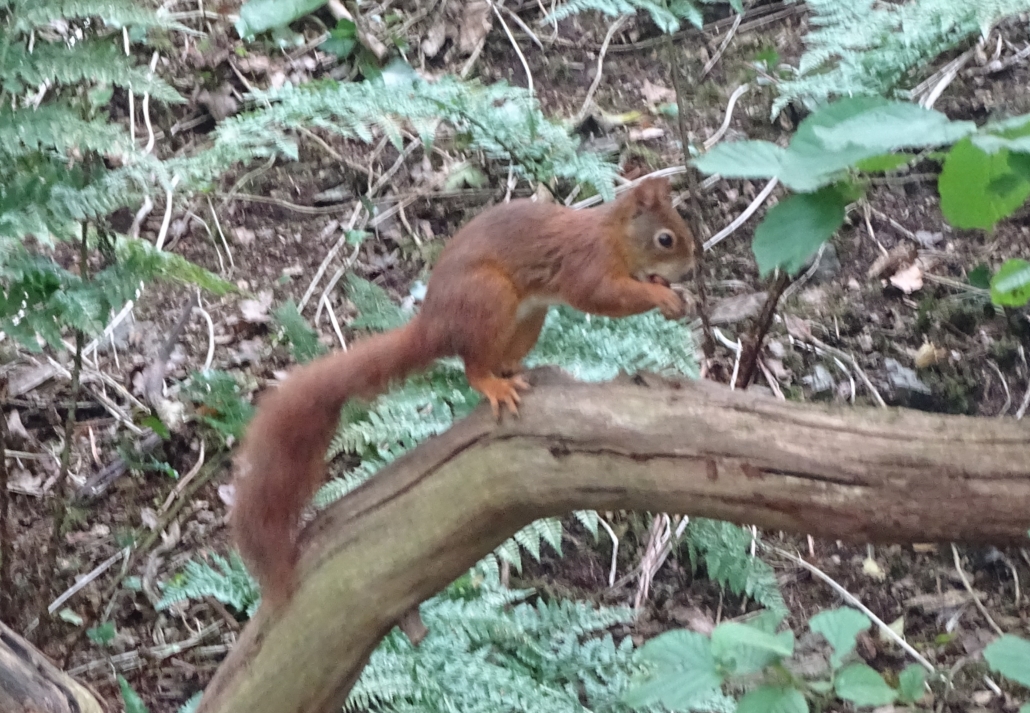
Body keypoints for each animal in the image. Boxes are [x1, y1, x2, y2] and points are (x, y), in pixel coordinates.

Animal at [231, 176, 698, 610]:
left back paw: (516, 371)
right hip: (489, 298)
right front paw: (661, 294)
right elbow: (603, 296)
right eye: (666, 238)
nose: (690, 268)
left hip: (528, 320)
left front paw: (676, 292)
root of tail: (434, 325)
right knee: (472, 367)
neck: (612, 236)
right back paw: (494, 384)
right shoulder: (587, 264)